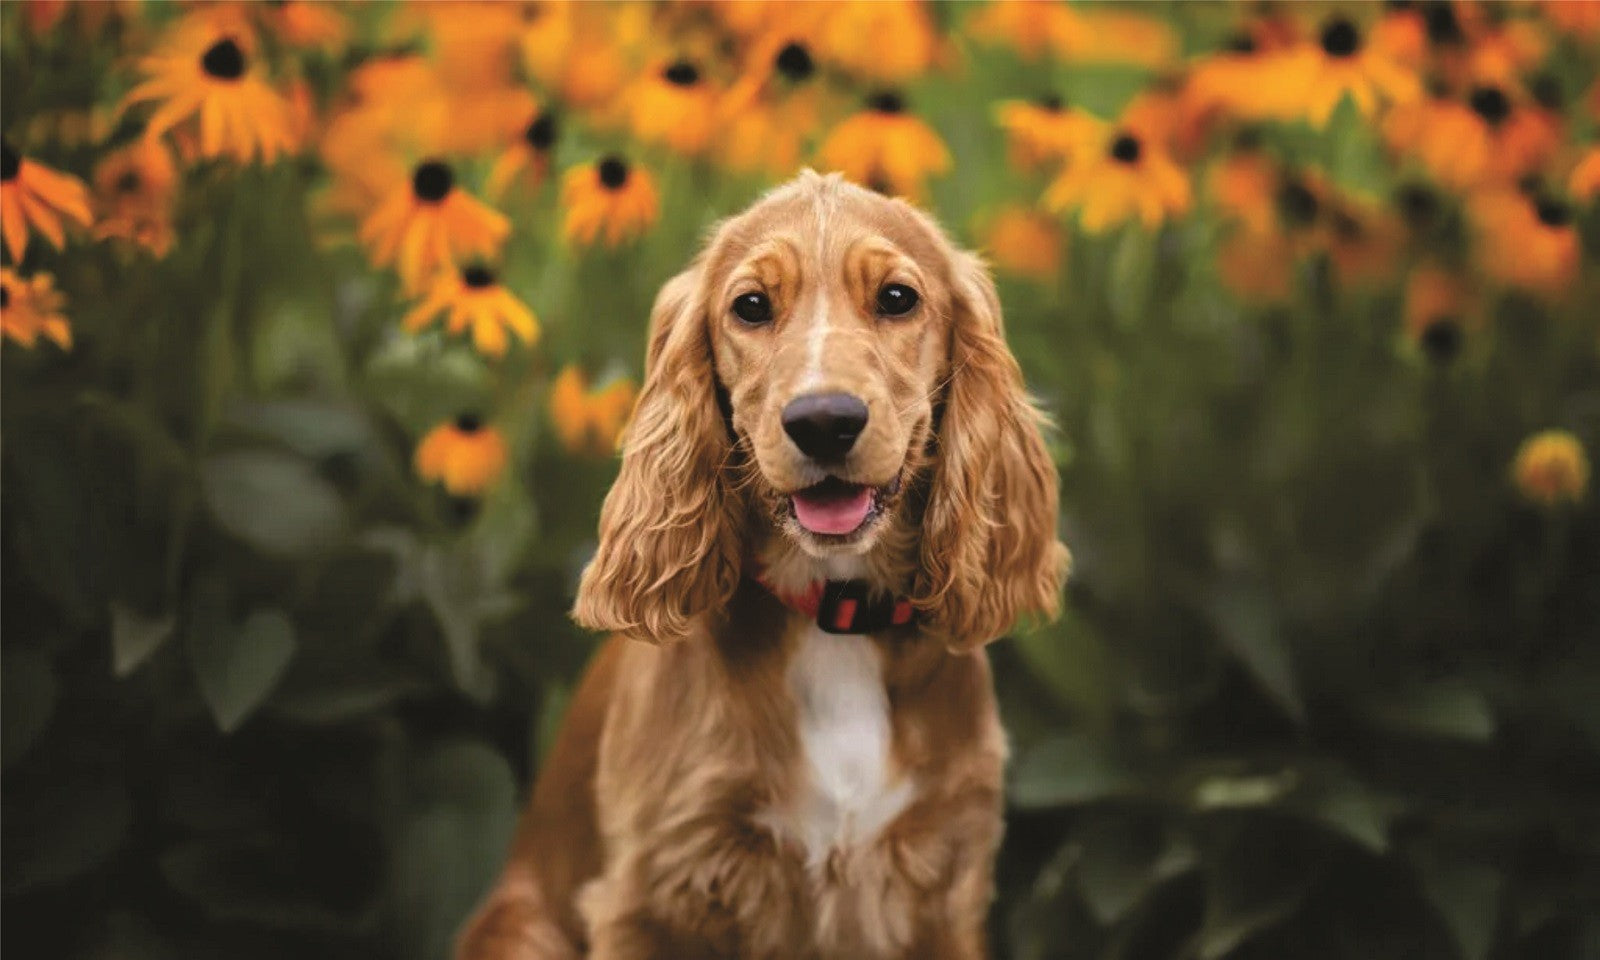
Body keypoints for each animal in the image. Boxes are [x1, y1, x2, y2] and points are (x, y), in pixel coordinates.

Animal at [457, 172, 1068, 960]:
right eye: (751, 306)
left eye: (897, 297)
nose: (825, 420)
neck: (834, 616)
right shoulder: (652, 894)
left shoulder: (945, 883)